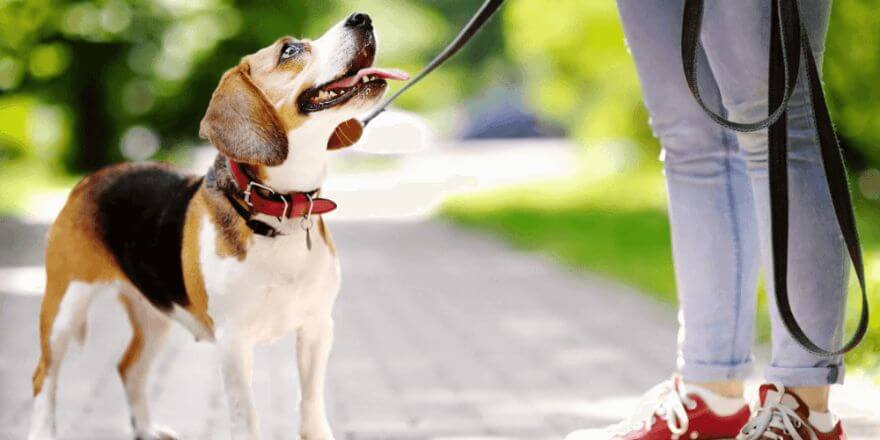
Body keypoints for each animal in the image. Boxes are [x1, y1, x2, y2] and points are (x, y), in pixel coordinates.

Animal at [29, 13, 408, 440]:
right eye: (290, 50)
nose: (362, 17)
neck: (279, 209)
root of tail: (91, 179)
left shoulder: (316, 328)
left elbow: (310, 407)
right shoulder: (233, 342)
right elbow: (247, 417)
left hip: (155, 312)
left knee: (129, 368)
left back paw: (146, 430)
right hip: (64, 306)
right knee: (44, 376)